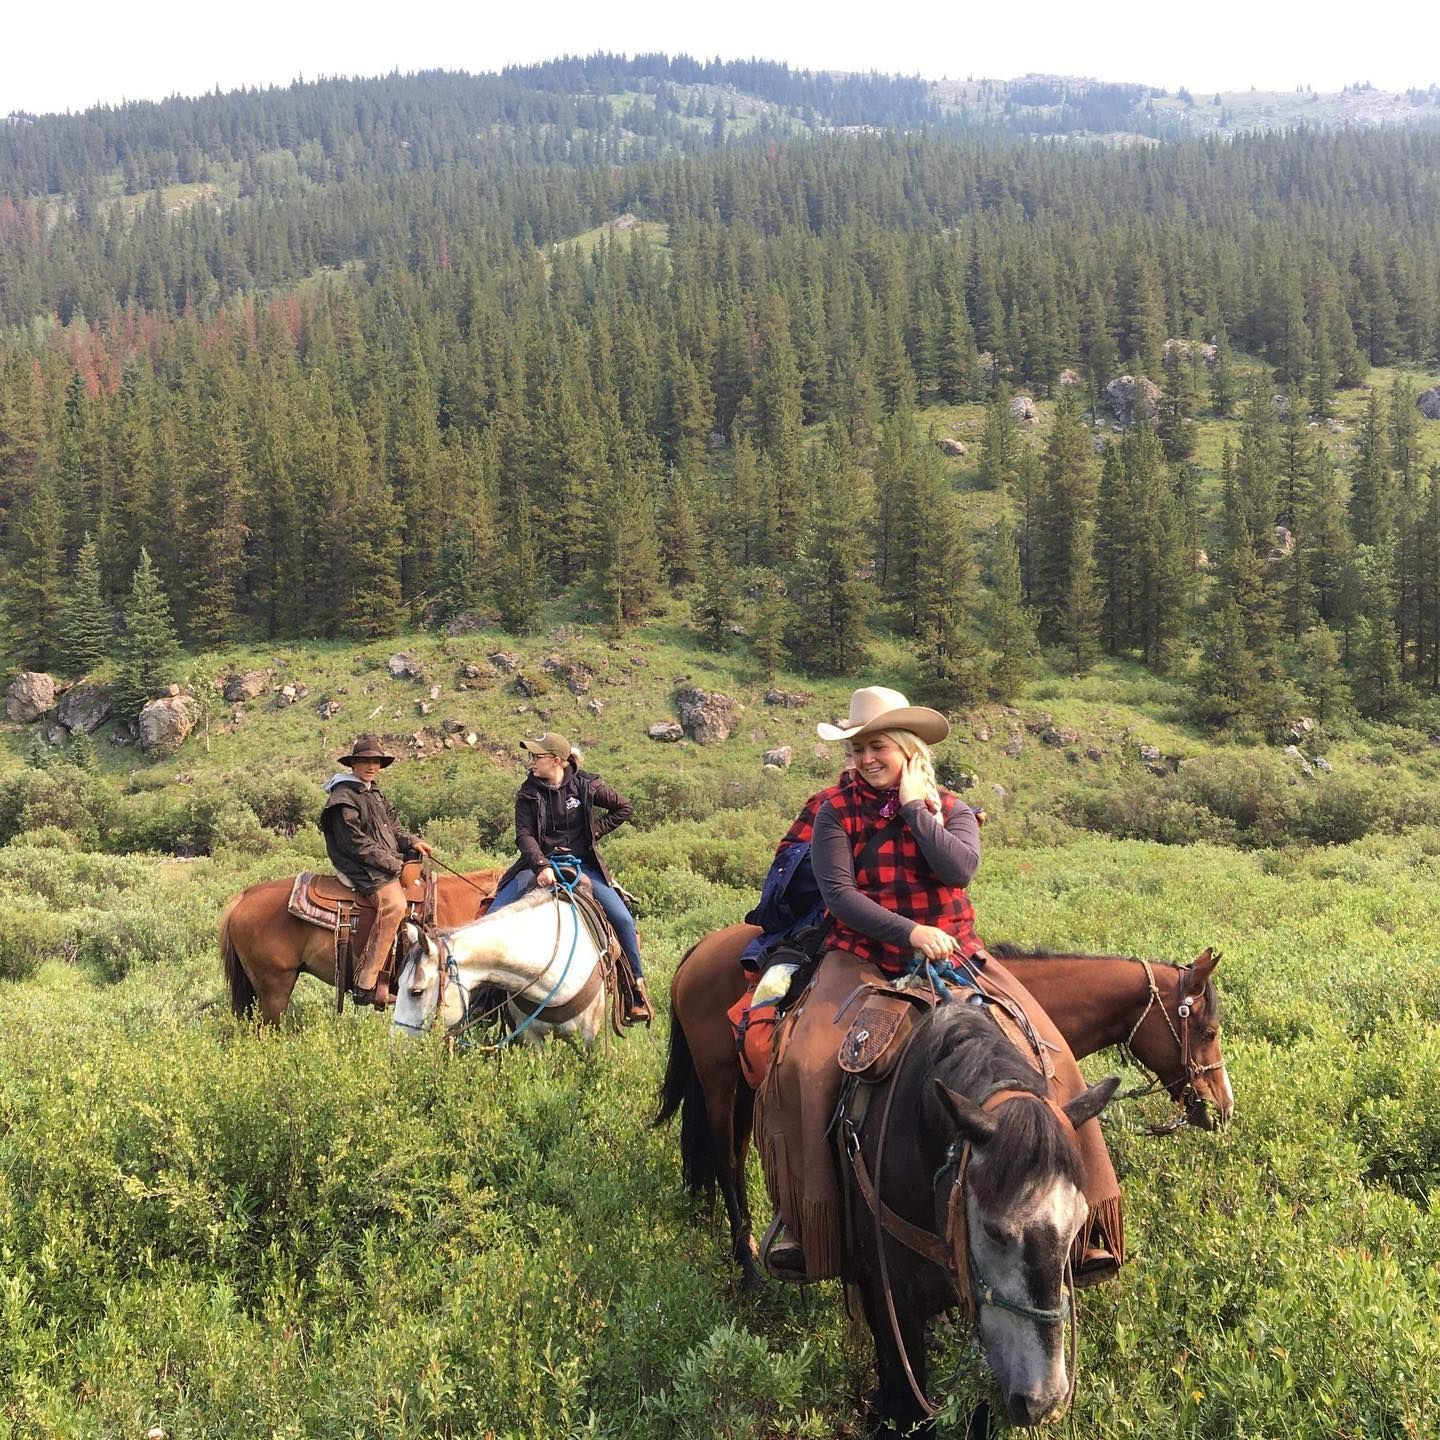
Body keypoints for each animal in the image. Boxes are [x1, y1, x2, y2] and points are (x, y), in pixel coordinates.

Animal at [659, 927, 1232, 1290]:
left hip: (744, 1090)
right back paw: (751, 1270)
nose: (1223, 1107)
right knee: (729, 1166)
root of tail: (697, 953)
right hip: (718, 1086)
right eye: (1208, 1030)